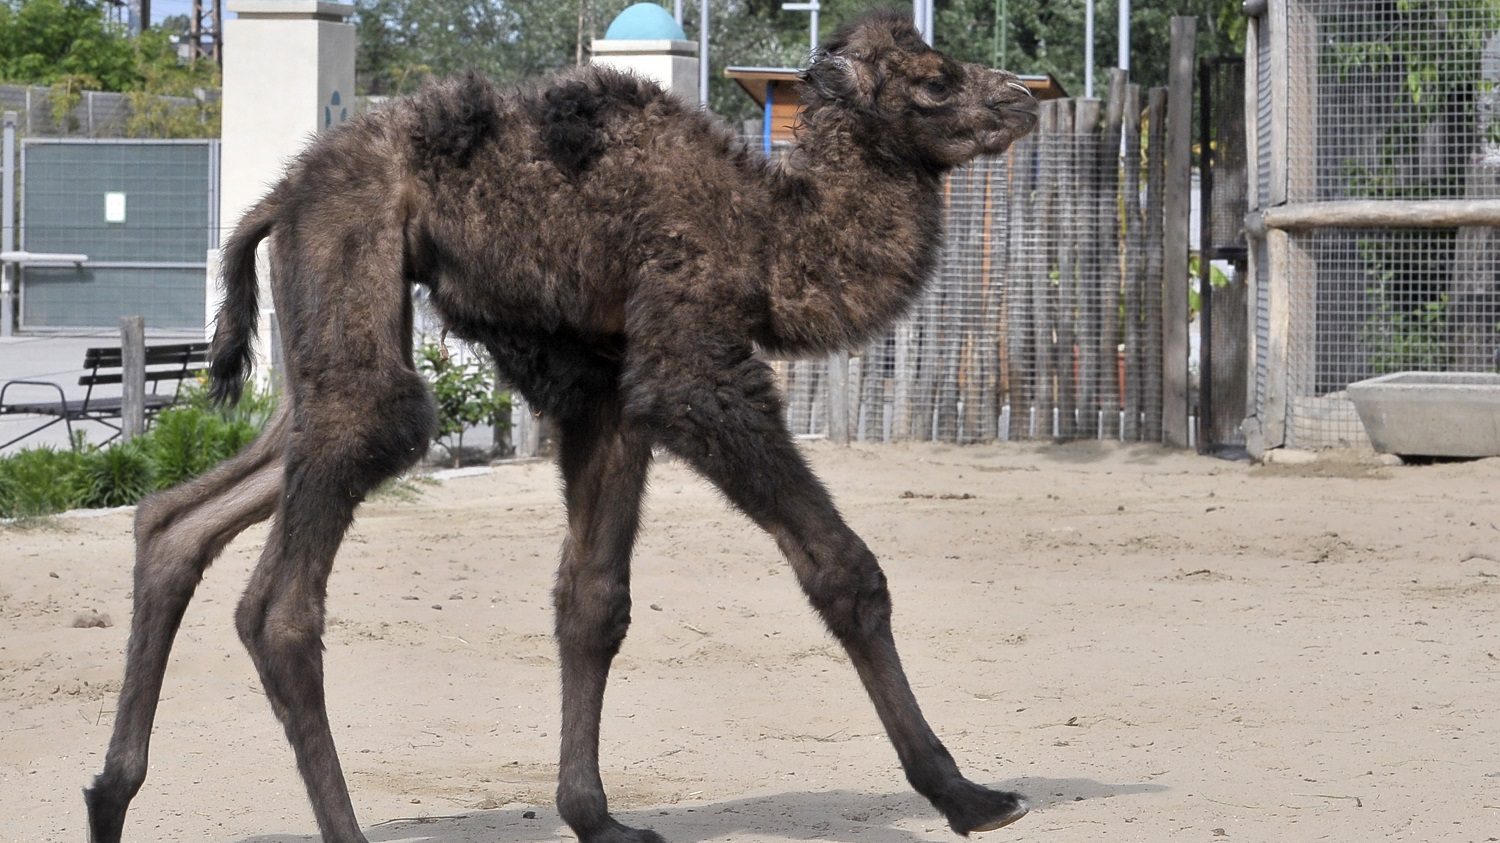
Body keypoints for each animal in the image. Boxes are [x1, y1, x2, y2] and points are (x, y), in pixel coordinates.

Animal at [87, 11, 1038, 840]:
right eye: (934, 80)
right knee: (285, 594)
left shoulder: (606, 387)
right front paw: (970, 794)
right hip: (351, 269)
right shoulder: (690, 362)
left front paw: (598, 818)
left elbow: (593, 600)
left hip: (322, 341)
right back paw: (334, 823)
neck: (767, 233)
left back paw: (107, 798)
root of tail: (278, 197)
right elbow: (844, 569)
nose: (1022, 98)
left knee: (180, 515)